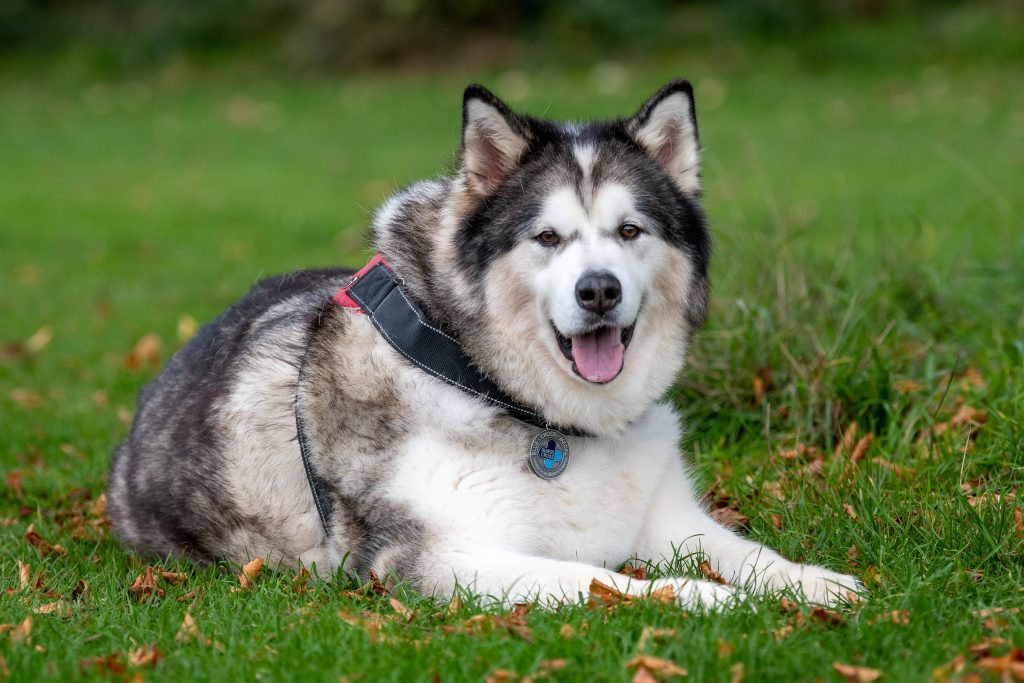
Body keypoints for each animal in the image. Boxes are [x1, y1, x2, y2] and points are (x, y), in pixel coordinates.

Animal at [110, 80, 864, 610]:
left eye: (629, 231)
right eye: (548, 237)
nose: (598, 291)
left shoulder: (666, 516)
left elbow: (751, 553)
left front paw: (816, 583)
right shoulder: (445, 557)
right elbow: (608, 582)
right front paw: (713, 598)